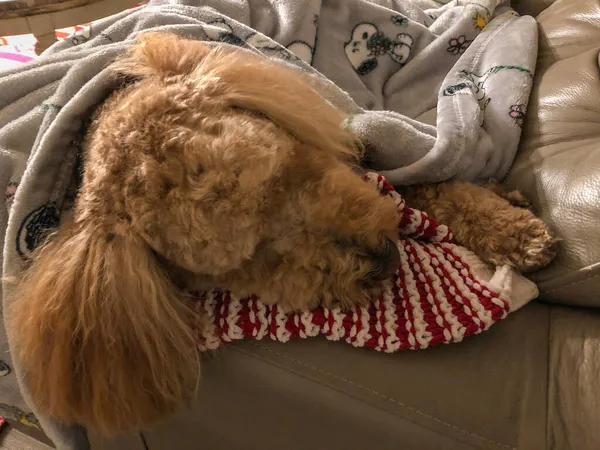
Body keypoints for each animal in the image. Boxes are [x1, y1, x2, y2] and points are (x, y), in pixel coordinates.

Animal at [9, 33, 556, 438]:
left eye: (288, 170)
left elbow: (438, 185)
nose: (381, 259)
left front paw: (512, 220)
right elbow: (431, 190)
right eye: (250, 259)